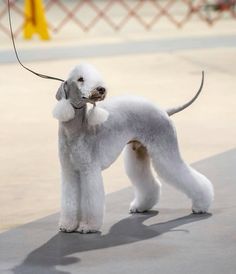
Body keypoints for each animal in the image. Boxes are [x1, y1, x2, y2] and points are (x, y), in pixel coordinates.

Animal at [53, 64, 214, 233]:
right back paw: (141, 206)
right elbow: (69, 199)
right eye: (80, 79)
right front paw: (68, 225)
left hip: (166, 150)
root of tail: (164, 111)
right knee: (149, 183)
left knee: (185, 174)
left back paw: (201, 205)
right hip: (139, 152)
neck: (77, 128)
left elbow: (91, 200)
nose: (101, 89)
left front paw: (88, 226)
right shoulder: (69, 171)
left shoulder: (89, 170)